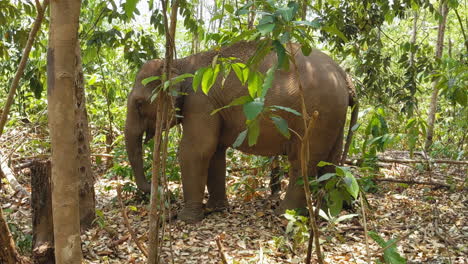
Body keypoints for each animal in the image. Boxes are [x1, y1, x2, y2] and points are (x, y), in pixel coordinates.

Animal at [124, 41, 358, 223]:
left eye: (138, 104)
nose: (165, 193)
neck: (180, 63)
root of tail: (344, 75)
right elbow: (215, 152)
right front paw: (217, 209)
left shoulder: (201, 102)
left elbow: (195, 151)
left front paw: (186, 219)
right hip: (334, 117)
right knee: (329, 162)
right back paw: (323, 214)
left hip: (315, 115)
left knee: (302, 161)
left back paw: (284, 214)